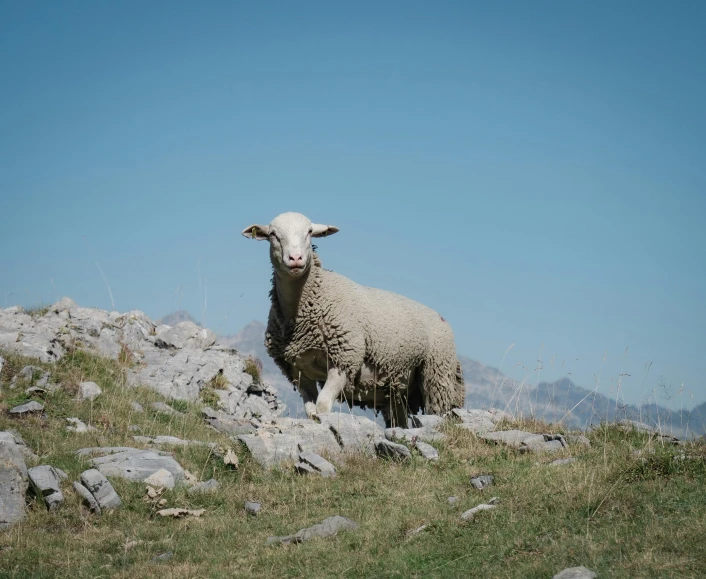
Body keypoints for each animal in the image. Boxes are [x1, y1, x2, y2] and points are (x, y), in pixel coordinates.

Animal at [241, 213, 462, 430]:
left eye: (310, 232)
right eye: (273, 234)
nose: (295, 258)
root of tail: (441, 318)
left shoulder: (344, 359)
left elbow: (322, 406)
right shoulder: (299, 370)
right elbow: (311, 411)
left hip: (436, 375)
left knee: (437, 411)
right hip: (397, 389)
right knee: (399, 422)